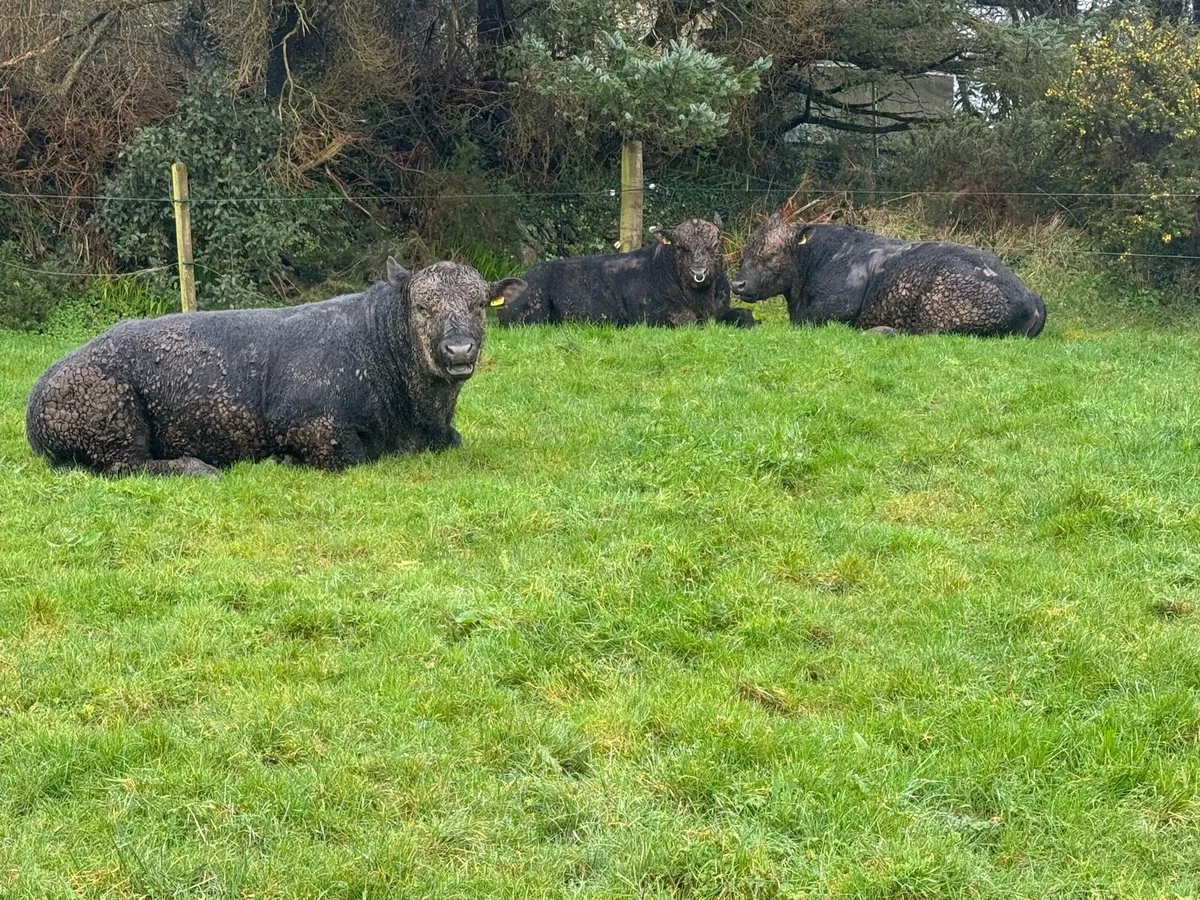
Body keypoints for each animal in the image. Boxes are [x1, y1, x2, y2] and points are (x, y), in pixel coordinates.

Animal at [26, 258, 525, 476]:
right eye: (422, 307)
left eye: (480, 305)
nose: (459, 350)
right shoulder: (309, 425)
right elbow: (352, 457)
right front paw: (279, 459)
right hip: (114, 421)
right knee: (124, 465)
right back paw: (196, 467)